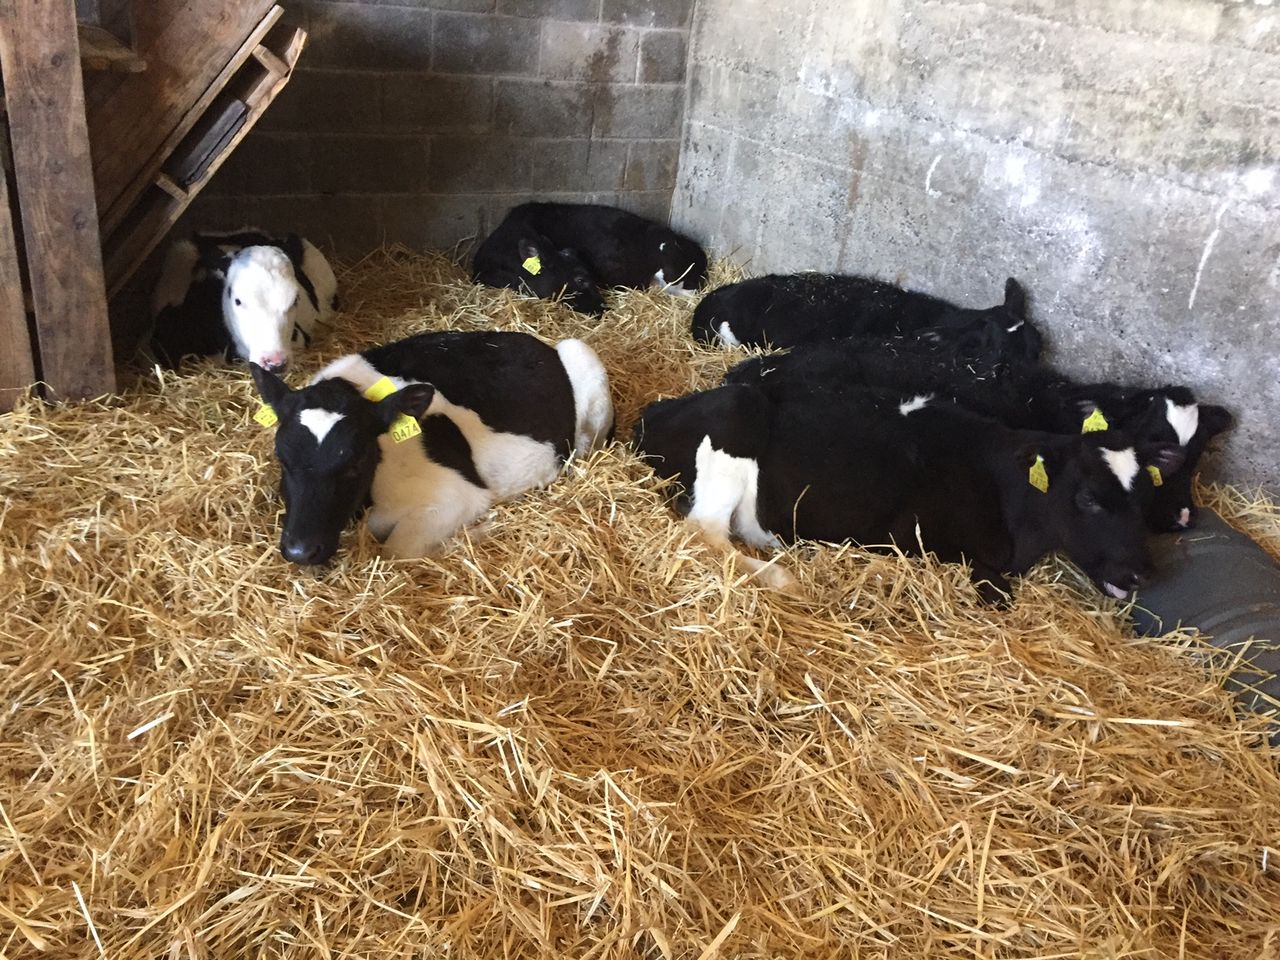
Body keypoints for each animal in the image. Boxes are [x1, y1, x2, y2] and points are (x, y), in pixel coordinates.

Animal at [250, 330, 614, 565]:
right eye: (283, 459)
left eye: (355, 462)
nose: (300, 552)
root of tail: (537, 344)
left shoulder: (456, 498)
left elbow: (397, 552)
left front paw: (478, 531)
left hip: (583, 361)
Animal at [633, 381, 1185, 603]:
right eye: (1089, 499)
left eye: (1142, 499)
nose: (1142, 573)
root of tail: (653, 411)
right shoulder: (917, 542)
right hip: (738, 418)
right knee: (704, 532)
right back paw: (783, 579)